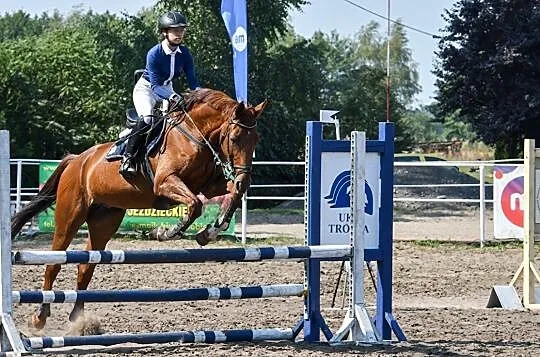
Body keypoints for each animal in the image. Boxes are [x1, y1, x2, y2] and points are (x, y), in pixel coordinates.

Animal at [11, 88, 268, 328]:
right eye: (235, 138)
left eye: (257, 139)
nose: (245, 179)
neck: (194, 135)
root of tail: (77, 160)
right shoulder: (165, 182)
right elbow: (195, 205)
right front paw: (165, 232)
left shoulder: (208, 185)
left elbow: (231, 194)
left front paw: (211, 231)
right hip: (69, 217)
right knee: (54, 263)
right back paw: (40, 317)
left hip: (104, 221)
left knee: (86, 266)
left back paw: (79, 322)